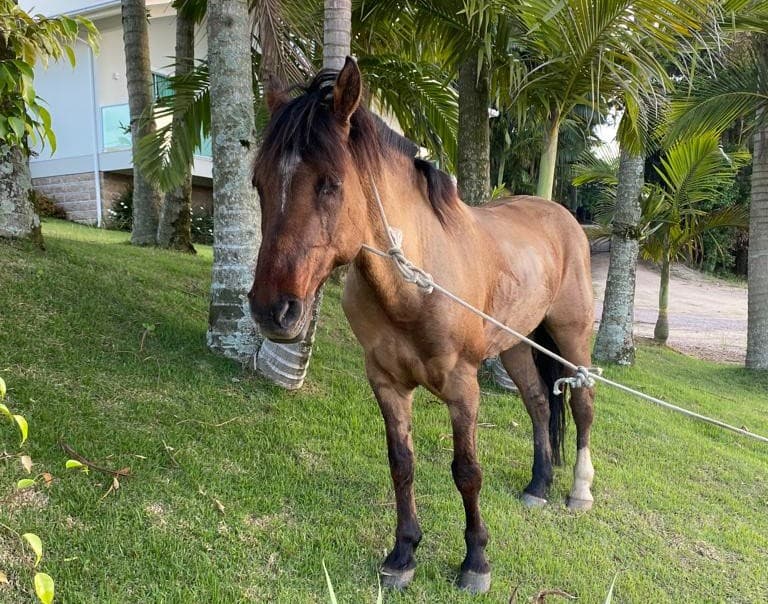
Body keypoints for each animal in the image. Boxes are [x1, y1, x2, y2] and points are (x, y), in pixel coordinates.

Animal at [248, 58, 595, 594]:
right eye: (258, 184)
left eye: (331, 183)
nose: (273, 310)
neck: (417, 285)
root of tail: (561, 215)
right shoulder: (387, 382)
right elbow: (402, 464)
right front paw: (403, 553)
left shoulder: (463, 386)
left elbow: (466, 471)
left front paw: (476, 562)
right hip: (515, 344)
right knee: (539, 404)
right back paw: (538, 486)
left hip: (572, 337)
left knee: (581, 405)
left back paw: (578, 491)